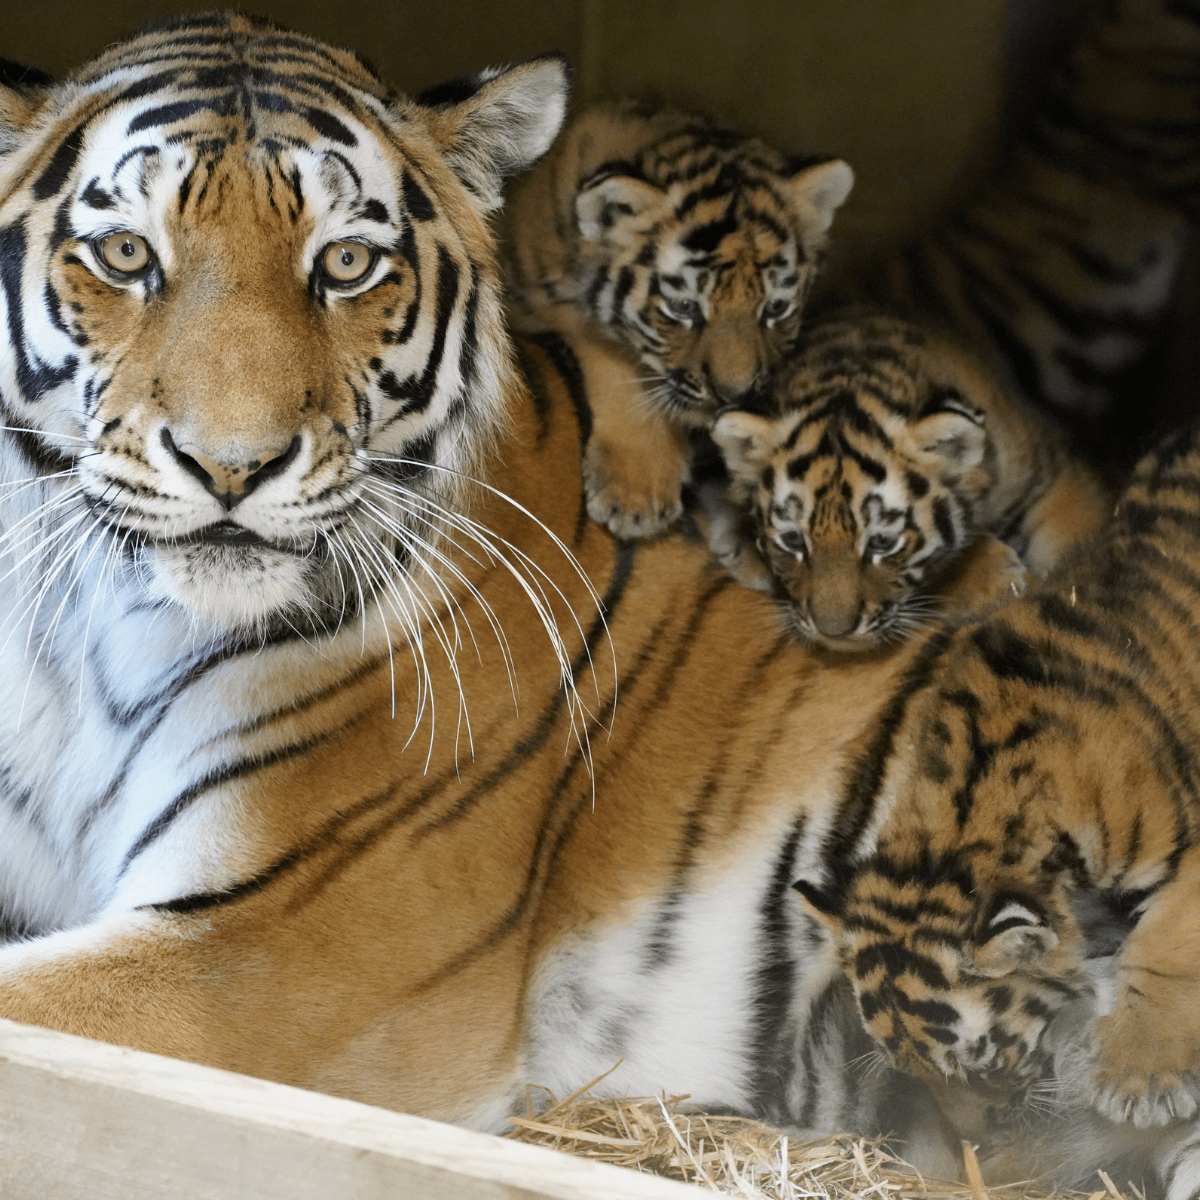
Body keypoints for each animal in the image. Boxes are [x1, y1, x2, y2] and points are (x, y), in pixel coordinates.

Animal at [503, 98, 854, 539]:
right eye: (684, 307)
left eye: (776, 308)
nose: (733, 395)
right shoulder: (535, 301)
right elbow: (615, 363)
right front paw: (636, 494)